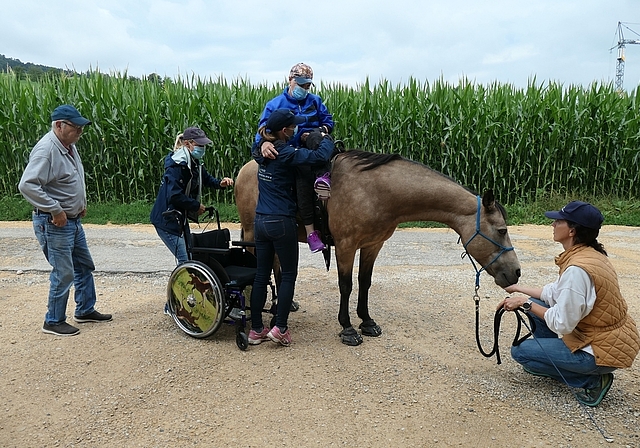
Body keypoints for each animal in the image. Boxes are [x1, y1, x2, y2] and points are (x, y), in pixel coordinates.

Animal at [235, 149, 520, 344]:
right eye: (502, 230)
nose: (516, 272)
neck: (376, 192)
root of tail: (244, 169)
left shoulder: (373, 245)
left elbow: (365, 282)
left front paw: (367, 321)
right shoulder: (346, 246)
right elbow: (346, 285)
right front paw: (348, 328)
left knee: (277, 266)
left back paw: (286, 303)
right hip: (253, 233)